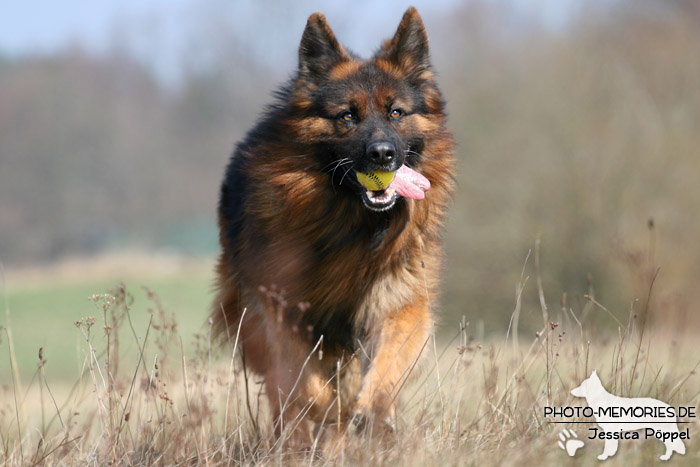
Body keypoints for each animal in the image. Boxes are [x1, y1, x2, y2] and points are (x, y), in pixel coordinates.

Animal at [211, 5, 456, 440]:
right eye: (347, 116)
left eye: (396, 112)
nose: (382, 154)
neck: (353, 229)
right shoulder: (280, 312)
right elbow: (306, 387)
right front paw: (334, 415)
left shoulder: (402, 302)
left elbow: (387, 367)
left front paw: (371, 410)